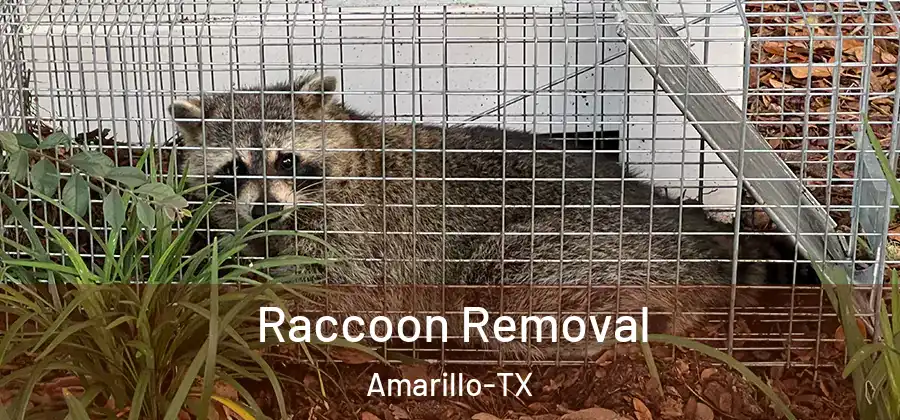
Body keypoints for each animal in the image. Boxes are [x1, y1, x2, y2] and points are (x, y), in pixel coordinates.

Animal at [168, 73, 815, 358]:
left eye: (287, 159)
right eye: (234, 169)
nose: (265, 206)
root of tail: (698, 238)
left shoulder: (366, 234)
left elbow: (345, 294)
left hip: (583, 248)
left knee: (510, 279)